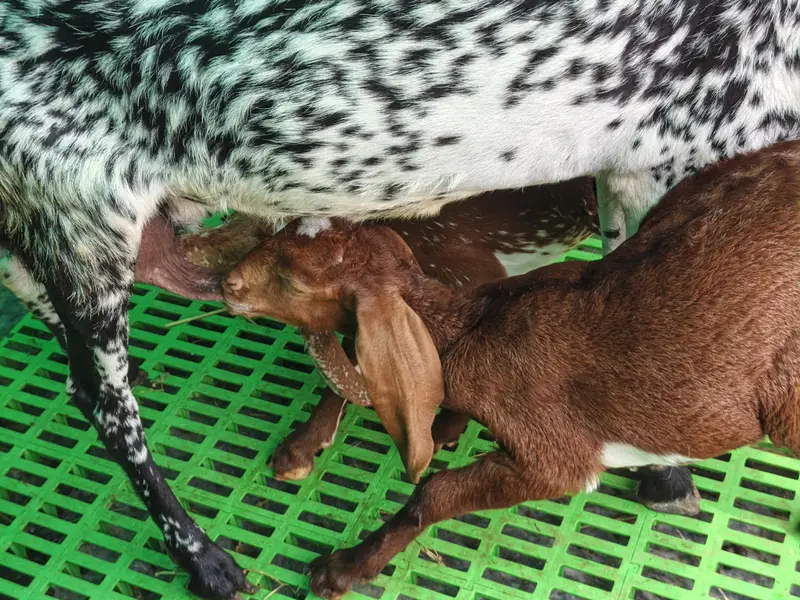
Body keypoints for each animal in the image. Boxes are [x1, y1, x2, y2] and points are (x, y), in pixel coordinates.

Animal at [222, 141, 800, 599]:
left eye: (294, 281)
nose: (227, 283)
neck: (477, 329)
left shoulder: (555, 455)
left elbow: (434, 493)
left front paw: (340, 569)